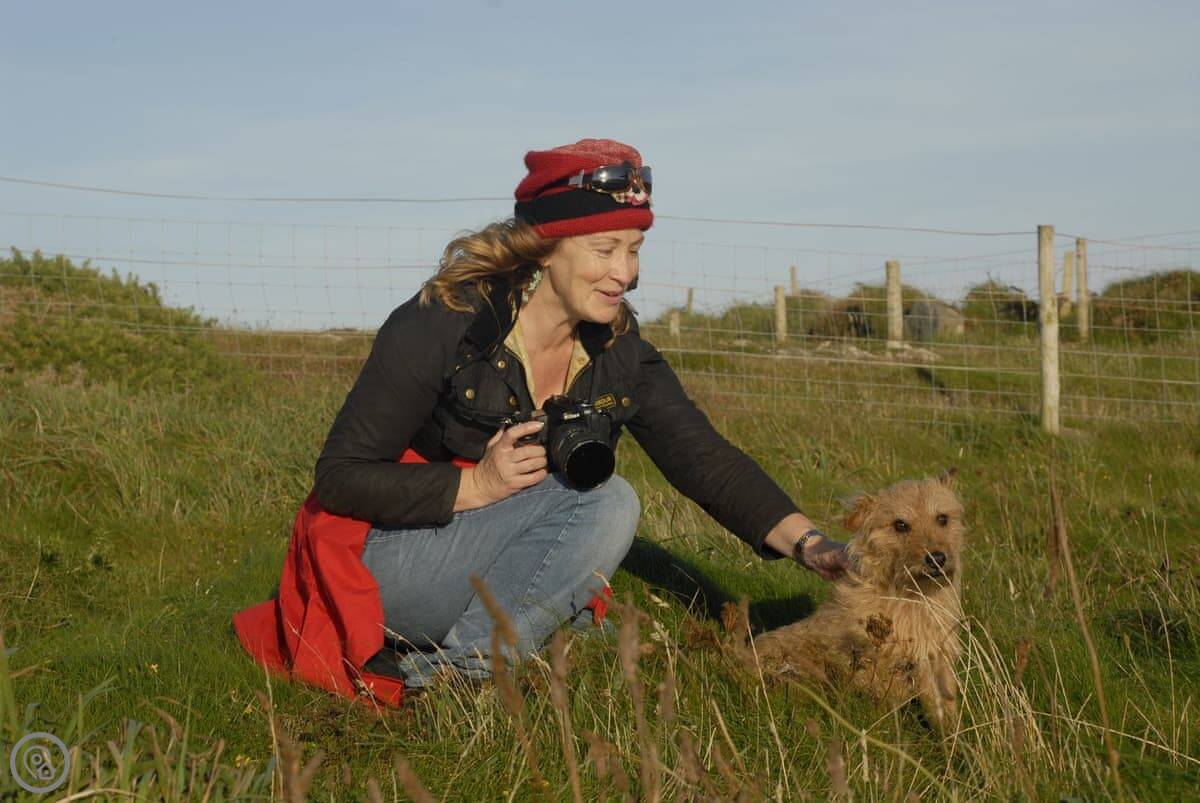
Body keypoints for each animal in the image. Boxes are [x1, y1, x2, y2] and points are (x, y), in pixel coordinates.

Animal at [752, 472, 965, 731]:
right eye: (900, 525)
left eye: (942, 518)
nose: (937, 558)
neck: (910, 595)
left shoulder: (935, 656)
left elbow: (945, 706)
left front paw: (954, 737)